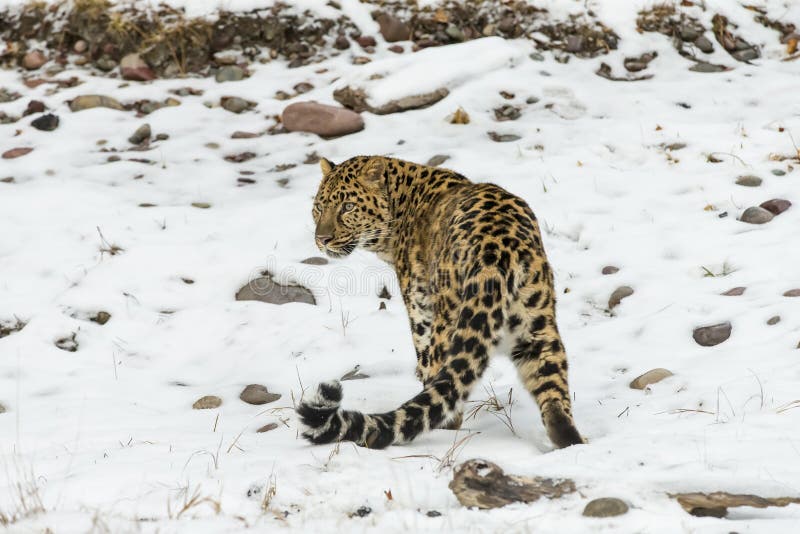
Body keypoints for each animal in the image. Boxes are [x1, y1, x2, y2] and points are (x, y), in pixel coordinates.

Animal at [297, 155, 584, 450]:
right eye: (319, 208)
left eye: (348, 207)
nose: (322, 239)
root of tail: (496, 252)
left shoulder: (420, 313)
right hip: (537, 327)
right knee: (554, 400)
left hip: (449, 327)